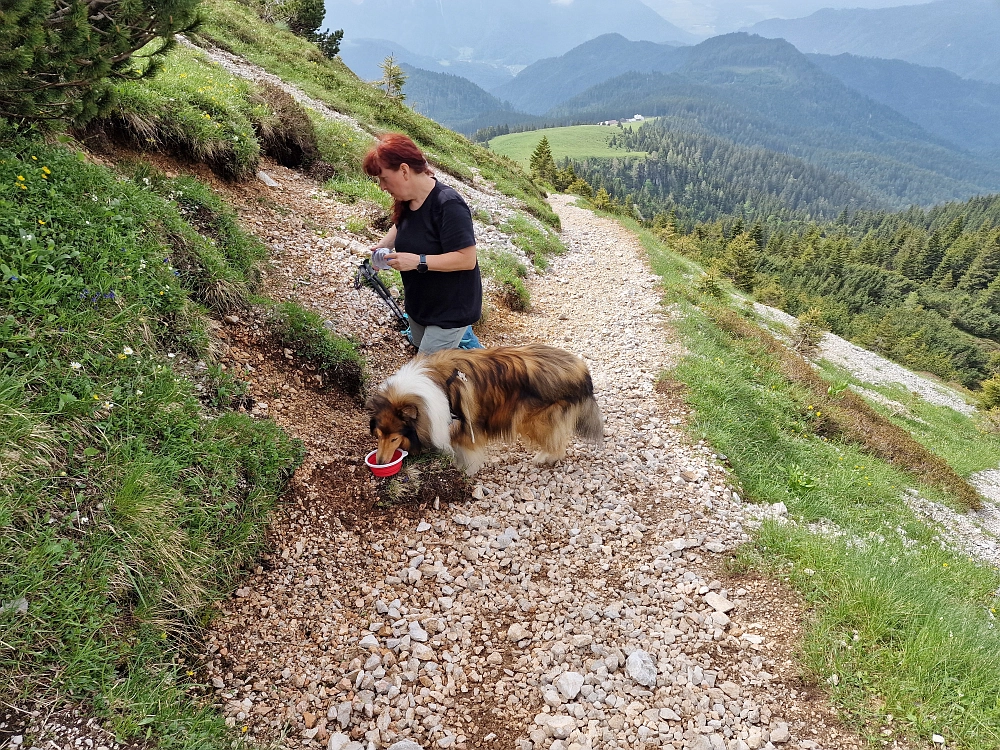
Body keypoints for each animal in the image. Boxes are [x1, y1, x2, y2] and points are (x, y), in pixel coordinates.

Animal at [368, 344, 600, 472]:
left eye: (394, 439)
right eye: (378, 436)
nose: (379, 462)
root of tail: (582, 370)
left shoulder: (463, 425)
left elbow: (467, 453)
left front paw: (464, 472)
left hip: (535, 419)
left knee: (557, 442)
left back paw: (544, 457)